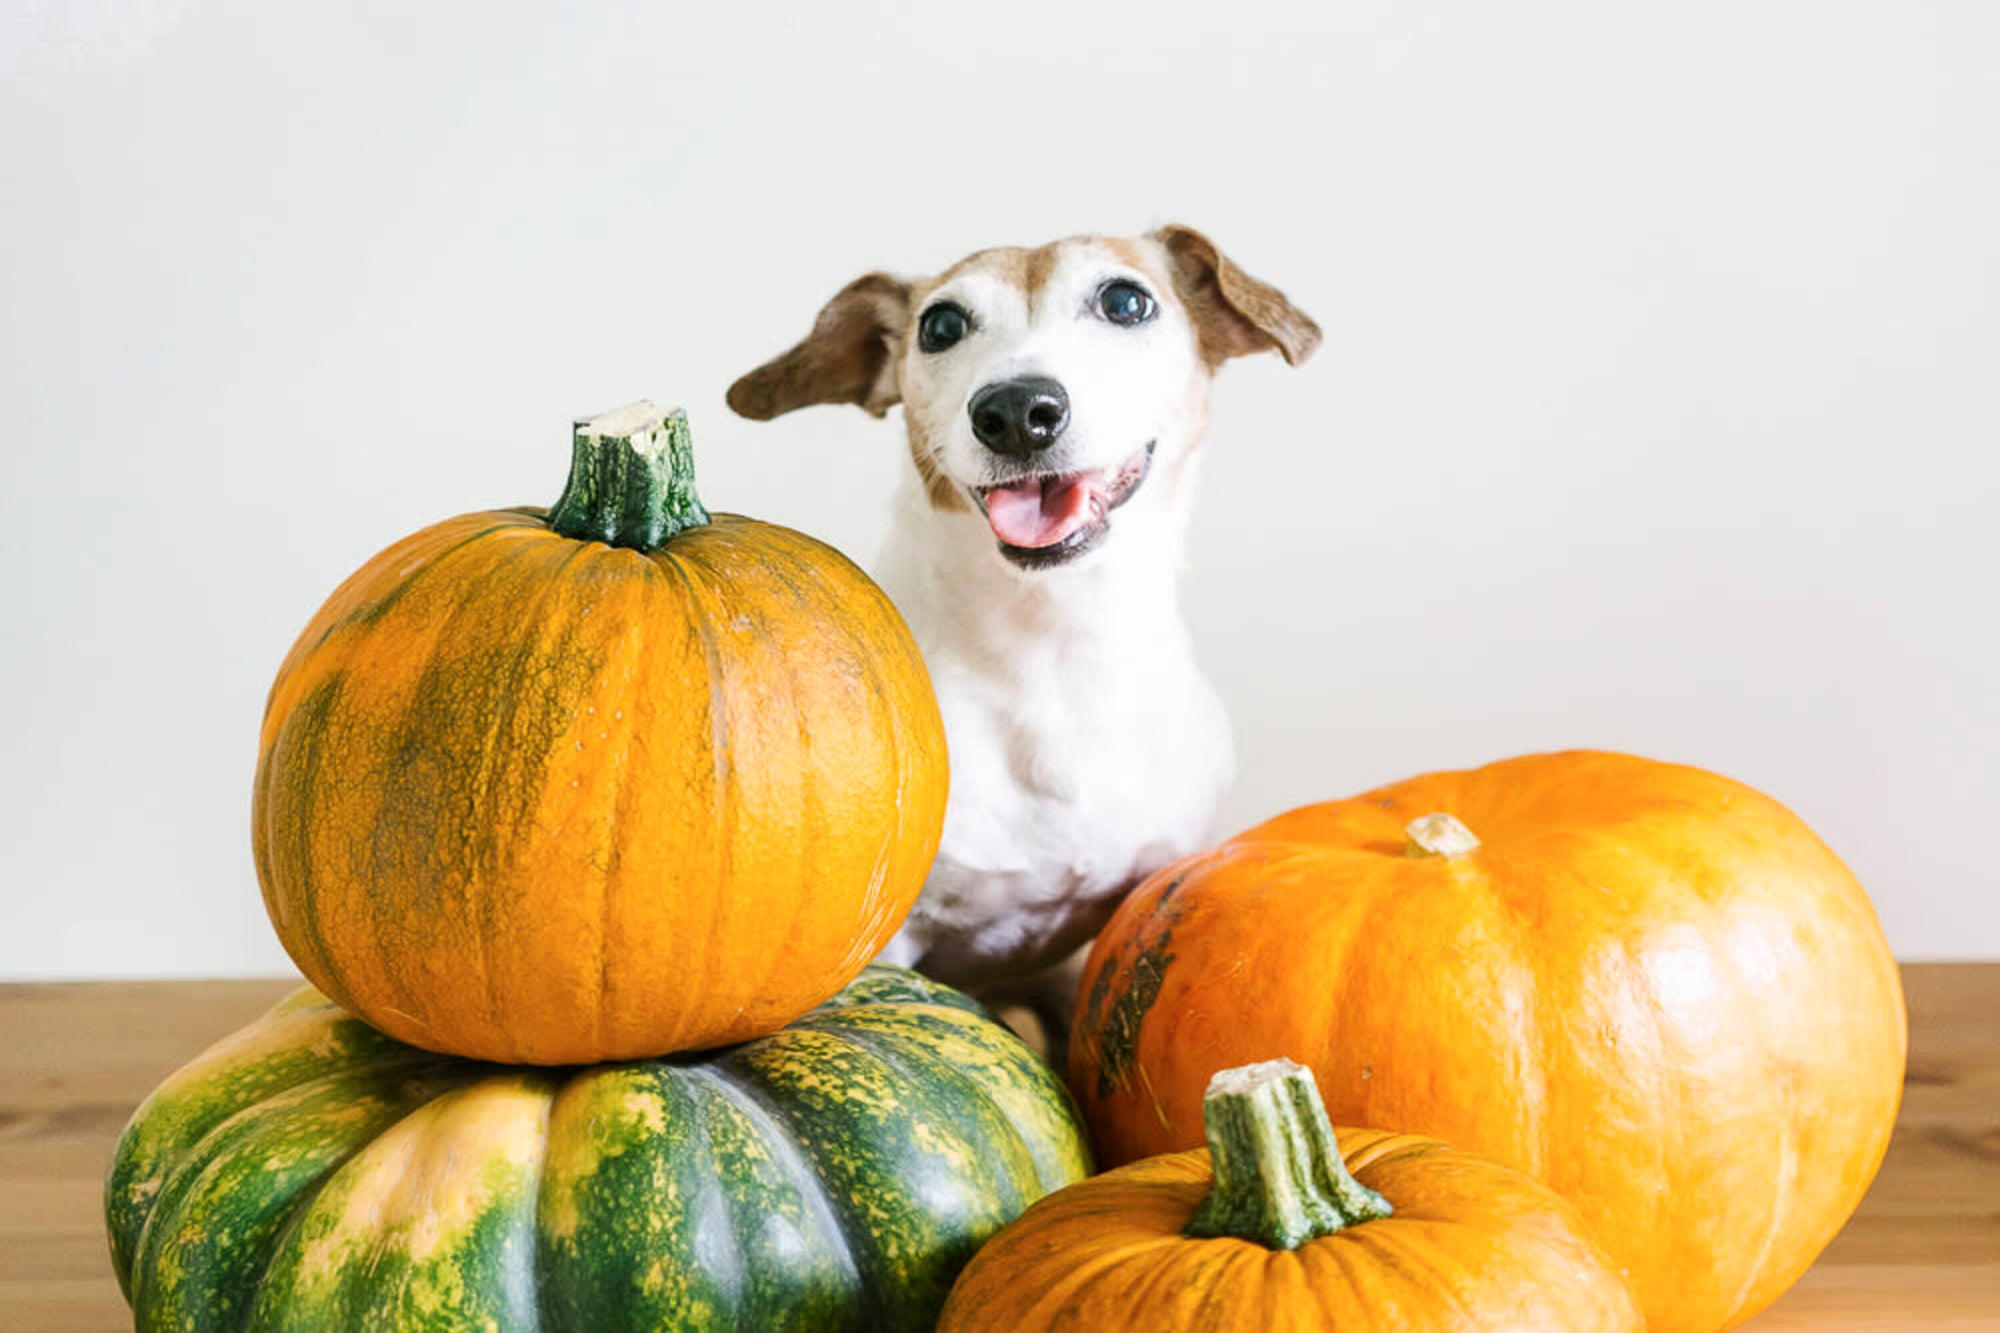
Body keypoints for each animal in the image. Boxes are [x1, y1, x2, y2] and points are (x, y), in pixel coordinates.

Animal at [728, 226, 1320, 1016]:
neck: (1051, 646)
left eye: (1126, 301)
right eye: (940, 325)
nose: (1015, 410)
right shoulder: (892, 944)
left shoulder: (1129, 909)